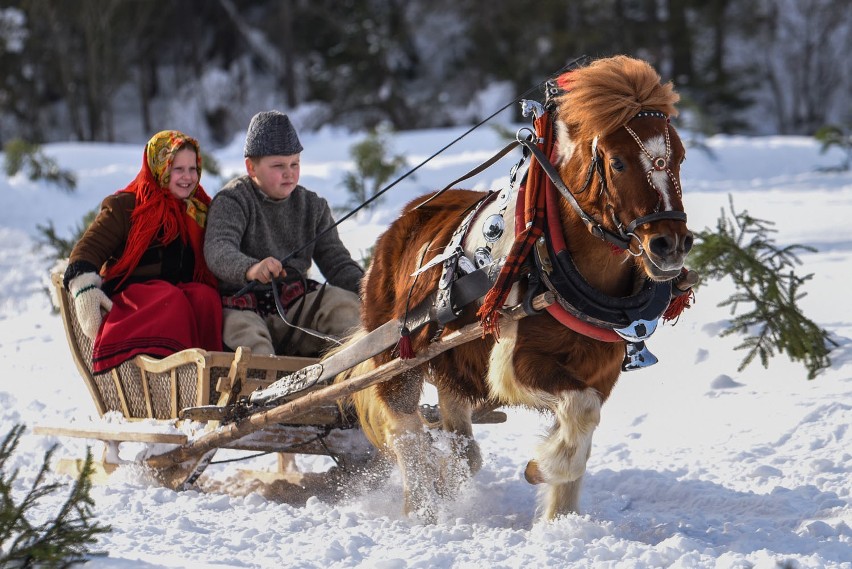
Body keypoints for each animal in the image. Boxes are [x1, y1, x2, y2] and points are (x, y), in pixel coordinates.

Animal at [336, 55, 688, 520]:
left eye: (680, 156)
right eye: (618, 162)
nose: (670, 245)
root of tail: (397, 226)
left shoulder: (601, 369)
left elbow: (583, 429)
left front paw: (559, 522)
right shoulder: (517, 362)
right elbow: (580, 412)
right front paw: (541, 467)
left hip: (449, 359)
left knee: (458, 431)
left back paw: (451, 479)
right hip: (398, 357)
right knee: (405, 431)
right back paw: (424, 507)